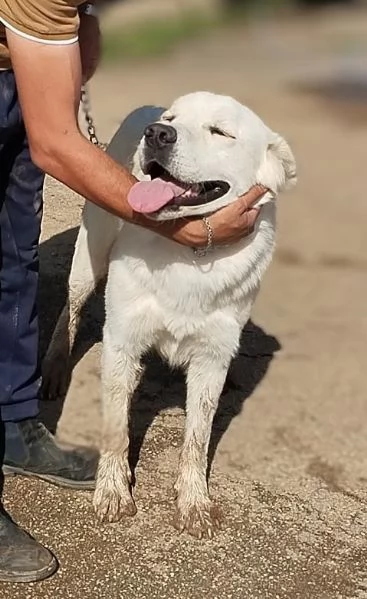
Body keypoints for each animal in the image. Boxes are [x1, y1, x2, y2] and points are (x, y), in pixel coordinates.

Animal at [43, 92, 296, 540]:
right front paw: (113, 491)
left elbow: (197, 437)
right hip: (90, 254)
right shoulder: (122, 341)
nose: (158, 133)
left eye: (220, 131)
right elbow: (116, 428)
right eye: (172, 120)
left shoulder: (212, 358)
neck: (187, 253)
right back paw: (56, 366)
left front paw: (194, 503)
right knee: (69, 308)